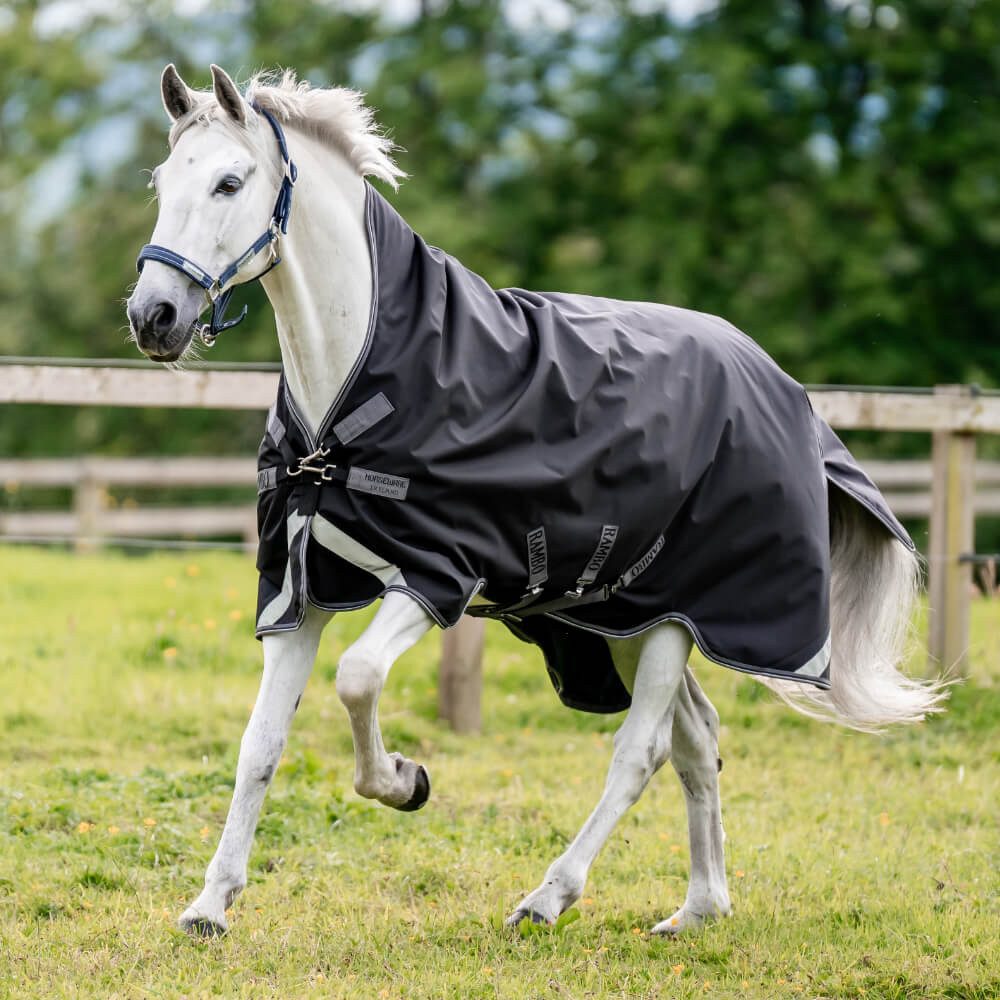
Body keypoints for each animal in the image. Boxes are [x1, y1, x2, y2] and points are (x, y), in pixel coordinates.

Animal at [126, 64, 944, 938]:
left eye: (230, 182)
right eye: (162, 182)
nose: (154, 317)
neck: (354, 399)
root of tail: (782, 386)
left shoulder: (434, 577)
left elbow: (357, 679)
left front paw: (405, 781)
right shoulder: (298, 591)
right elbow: (260, 743)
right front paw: (210, 904)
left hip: (676, 618)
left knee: (644, 751)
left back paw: (549, 896)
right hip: (626, 618)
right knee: (697, 740)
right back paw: (698, 909)